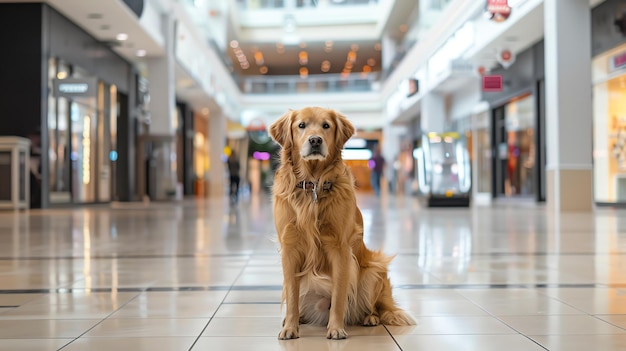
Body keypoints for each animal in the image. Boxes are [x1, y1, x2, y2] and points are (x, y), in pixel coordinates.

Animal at [268, 107, 414, 340]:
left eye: (326, 126)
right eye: (301, 125)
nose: (315, 140)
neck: (313, 183)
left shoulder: (341, 248)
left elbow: (338, 295)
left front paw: (335, 328)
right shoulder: (289, 248)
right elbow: (291, 294)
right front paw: (290, 327)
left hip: (374, 270)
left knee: (374, 307)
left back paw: (370, 318)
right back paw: (300, 319)